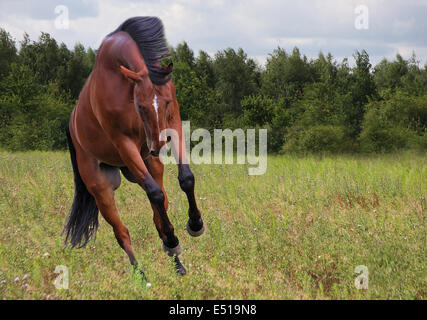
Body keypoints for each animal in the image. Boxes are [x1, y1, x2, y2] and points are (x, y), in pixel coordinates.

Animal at [63, 16, 206, 278]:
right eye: (140, 106)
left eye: (167, 102)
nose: (158, 145)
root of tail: (72, 125)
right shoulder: (124, 144)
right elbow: (155, 194)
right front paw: (176, 238)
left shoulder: (174, 123)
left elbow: (186, 179)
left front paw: (195, 225)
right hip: (103, 189)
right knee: (122, 232)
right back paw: (142, 275)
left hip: (146, 167)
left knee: (159, 213)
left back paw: (177, 262)